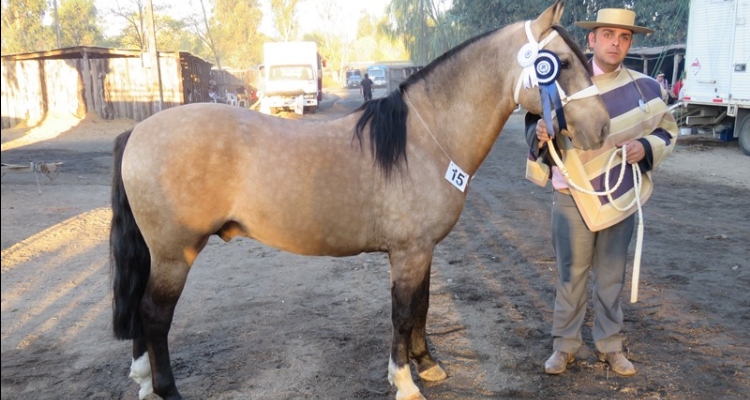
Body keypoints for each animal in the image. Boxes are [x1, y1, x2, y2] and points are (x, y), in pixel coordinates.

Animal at [110, 1, 612, 398]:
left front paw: (427, 364)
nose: (603, 127)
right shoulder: (408, 253)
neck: (424, 139)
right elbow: (403, 313)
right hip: (175, 253)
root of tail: (138, 131)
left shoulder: (422, 251)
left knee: (140, 313)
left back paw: (143, 383)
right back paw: (166, 390)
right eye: (561, 63)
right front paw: (404, 381)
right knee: (154, 316)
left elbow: (422, 306)